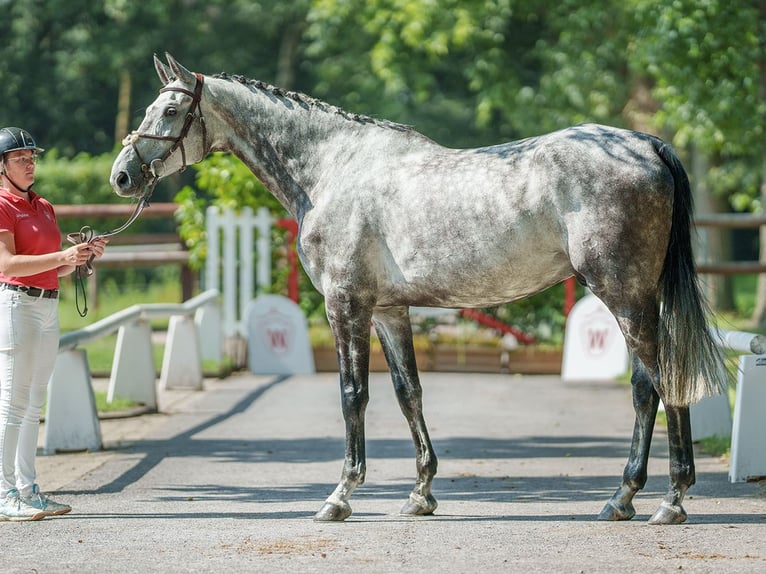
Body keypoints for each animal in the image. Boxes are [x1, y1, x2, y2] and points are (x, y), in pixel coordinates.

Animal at [108, 54, 728, 528]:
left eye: (170, 111)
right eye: (149, 109)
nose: (121, 176)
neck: (332, 170)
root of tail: (647, 146)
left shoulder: (346, 307)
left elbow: (353, 396)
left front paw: (340, 496)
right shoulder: (389, 311)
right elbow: (410, 394)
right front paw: (420, 494)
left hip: (625, 297)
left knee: (658, 383)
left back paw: (663, 501)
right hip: (635, 300)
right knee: (650, 386)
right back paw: (630, 498)